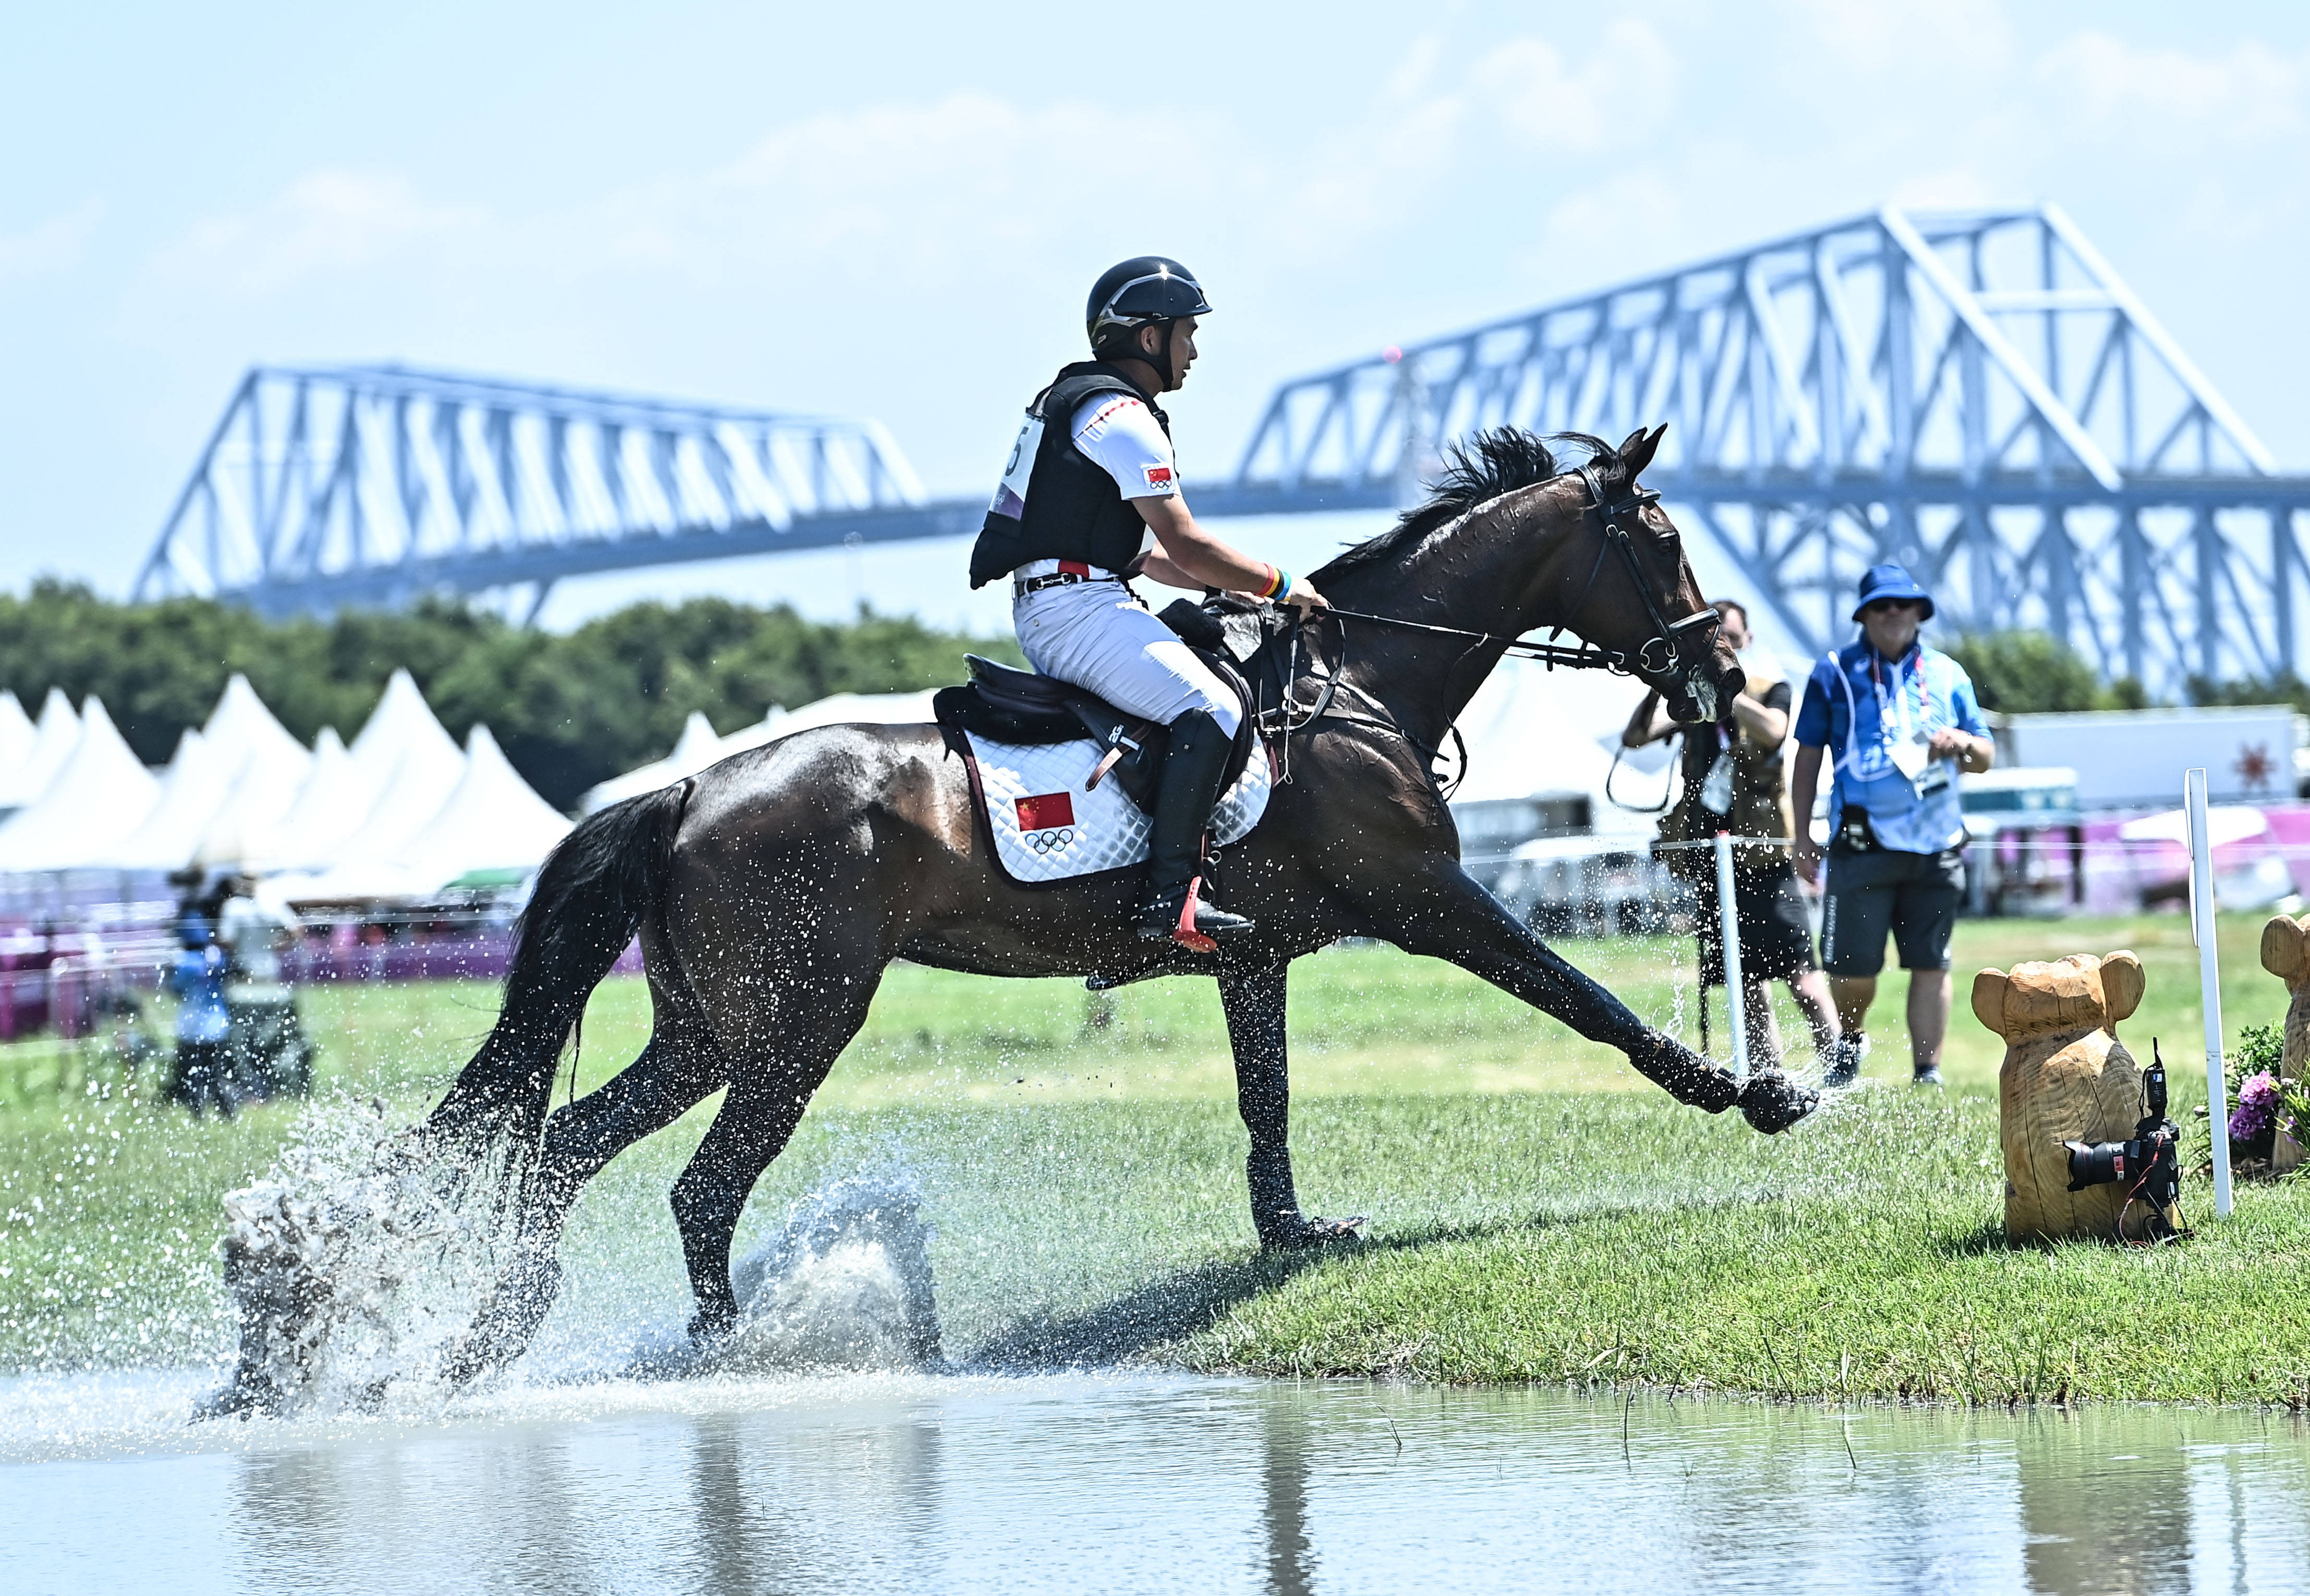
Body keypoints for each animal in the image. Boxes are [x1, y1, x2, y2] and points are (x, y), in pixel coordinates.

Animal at [425, 425, 1811, 1376]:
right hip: (799, 1024)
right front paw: (1752, 1090)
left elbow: (1266, 1103)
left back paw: (500, 1333)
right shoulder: (1429, 902)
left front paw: (1293, 1237)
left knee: (562, 1150)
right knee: (700, 1188)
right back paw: (725, 1354)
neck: (1357, 681)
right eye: (1663, 543)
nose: (1720, 666)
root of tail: (686, 790)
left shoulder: (1257, 959)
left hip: (711, 1031)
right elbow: (1584, 1002)